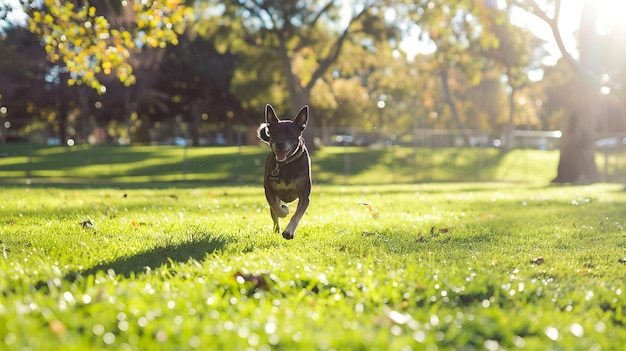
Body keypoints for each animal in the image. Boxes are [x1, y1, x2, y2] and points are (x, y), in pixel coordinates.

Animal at [256, 104, 310, 241]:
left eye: (291, 133)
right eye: (274, 133)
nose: (279, 144)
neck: (287, 164)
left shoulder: (304, 195)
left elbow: (297, 215)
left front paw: (288, 232)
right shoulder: (269, 190)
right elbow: (277, 209)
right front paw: (284, 210)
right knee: (274, 215)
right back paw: (277, 229)